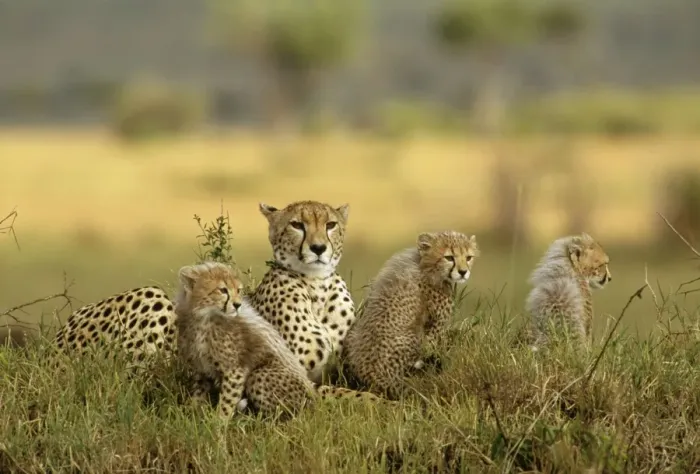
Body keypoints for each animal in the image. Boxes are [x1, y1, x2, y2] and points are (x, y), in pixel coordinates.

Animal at [174, 261, 392, 419]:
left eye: (238, 290)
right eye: (222, 290)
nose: (237, 304)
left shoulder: (236, 368)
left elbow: (227, 400)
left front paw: (218, 423)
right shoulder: (202, 367)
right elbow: (198, 392)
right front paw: (192, 414)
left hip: (262, 376)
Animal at [341, 231, 480, 400]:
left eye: (468, 257)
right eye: (449, 257)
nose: (463, 272)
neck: (426, 266)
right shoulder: (435, 327)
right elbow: (433, 348)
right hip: (411, 337)